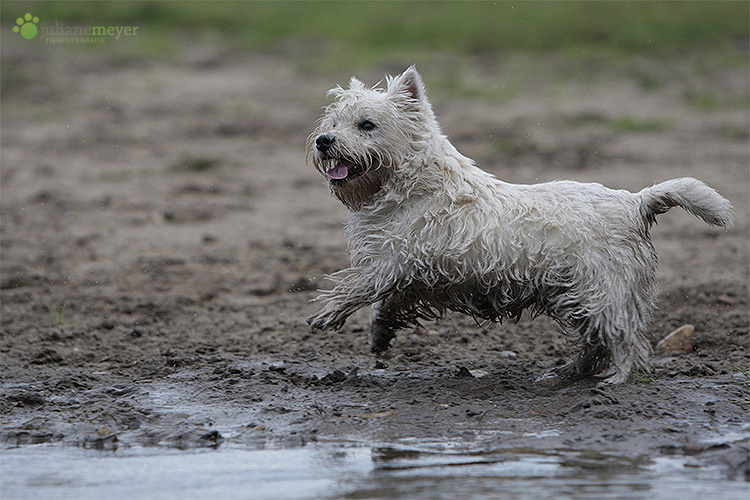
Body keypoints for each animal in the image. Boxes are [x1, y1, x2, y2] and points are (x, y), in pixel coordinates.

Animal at [306, 67, 736, 382]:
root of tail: (635, 202)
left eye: (366, 124)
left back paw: (616, 379)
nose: (324, 140)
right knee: (596, 341)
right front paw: (379, 336)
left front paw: (327, 314)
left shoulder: (396, 259)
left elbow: (358, 286)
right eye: (334, 121)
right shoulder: (412, 272)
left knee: (623, 337)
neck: (410, 185)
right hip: (576, 295)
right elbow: (386, 304)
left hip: (602, 288)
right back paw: (566, 372)